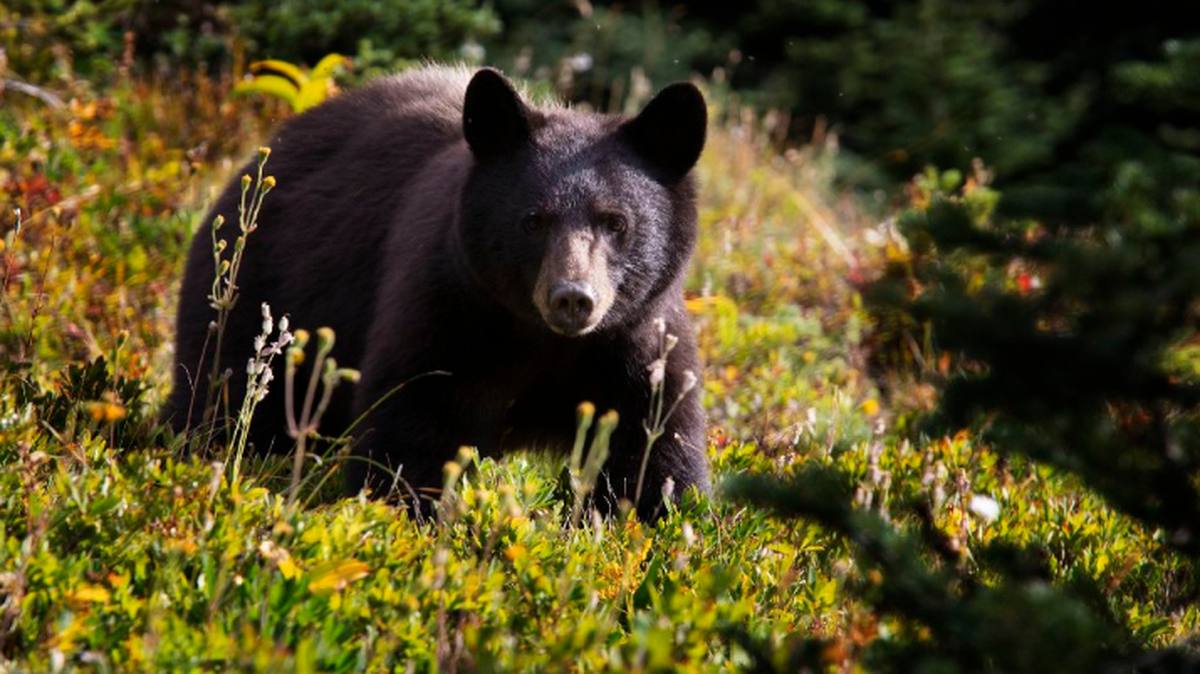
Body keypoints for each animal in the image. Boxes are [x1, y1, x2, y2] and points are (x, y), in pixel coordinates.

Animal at [165, 66, 711, 519]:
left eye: (616, 222)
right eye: (534, 220)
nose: (573, 298)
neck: (545, 341)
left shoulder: (640, 343)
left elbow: (656, 446)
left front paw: (654, 513)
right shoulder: (448, 311)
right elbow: (413, 426)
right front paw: (409, 511)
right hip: (254, 294)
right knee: (224, 394)